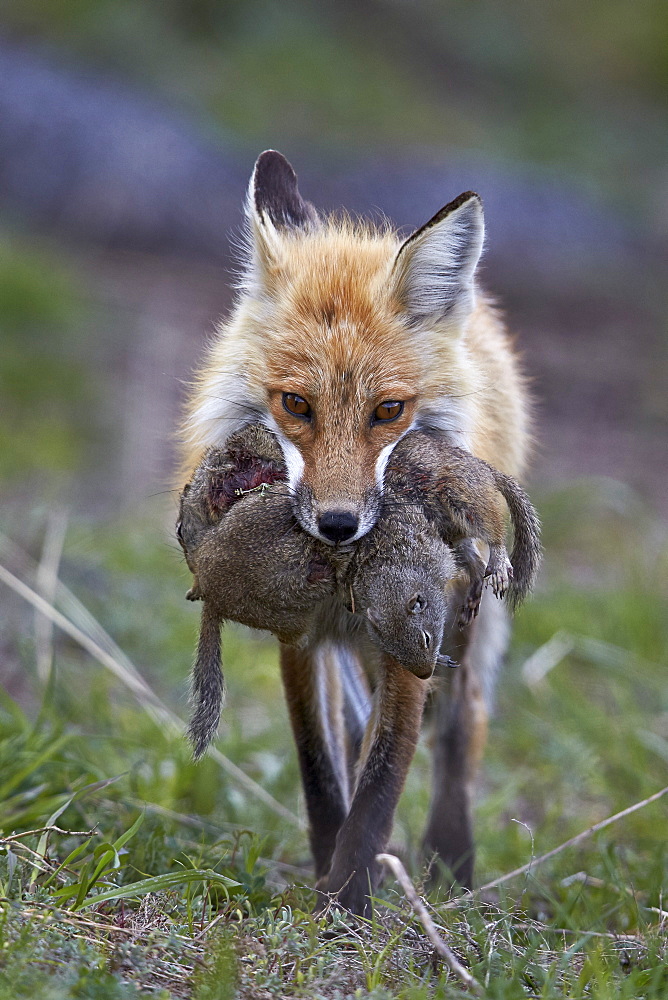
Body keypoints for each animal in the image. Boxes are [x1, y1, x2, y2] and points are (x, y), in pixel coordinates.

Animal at [179, 150, 532, 916]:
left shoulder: (415, 621)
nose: (338, 526)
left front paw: (347, 910)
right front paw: (331, 885)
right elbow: (321, 769)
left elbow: (381, 782)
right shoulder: (297, 633)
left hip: (466, 629)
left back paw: (453, 866)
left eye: (388, 411)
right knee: (353, 726)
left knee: (463, 726)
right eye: (295, 404)